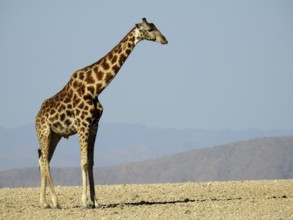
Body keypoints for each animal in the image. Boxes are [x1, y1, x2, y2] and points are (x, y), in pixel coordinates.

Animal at [34, 18, 167, 209]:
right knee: (44, 160)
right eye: (149, 29)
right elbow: (83, 162)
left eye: (156, 27)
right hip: (44, 132)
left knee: (43, 160)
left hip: (55, 135)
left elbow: (91, 162)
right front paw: (84, 201)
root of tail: (36, 116)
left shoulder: (95, 125)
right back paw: (55, 201)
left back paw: (43, 202)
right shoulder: (82, 124)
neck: (95, 88)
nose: (165, 40)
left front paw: (95, 201)